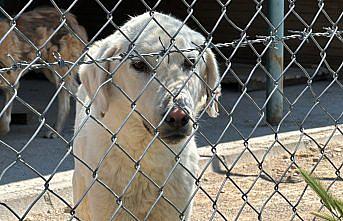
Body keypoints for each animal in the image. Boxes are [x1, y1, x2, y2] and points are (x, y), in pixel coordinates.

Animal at [0, 6, 87, 137]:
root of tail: (71, 18)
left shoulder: (11, 83)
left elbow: (4, 120)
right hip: (51, 72)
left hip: (58, 70)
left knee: (66, 103)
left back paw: (56, 131)